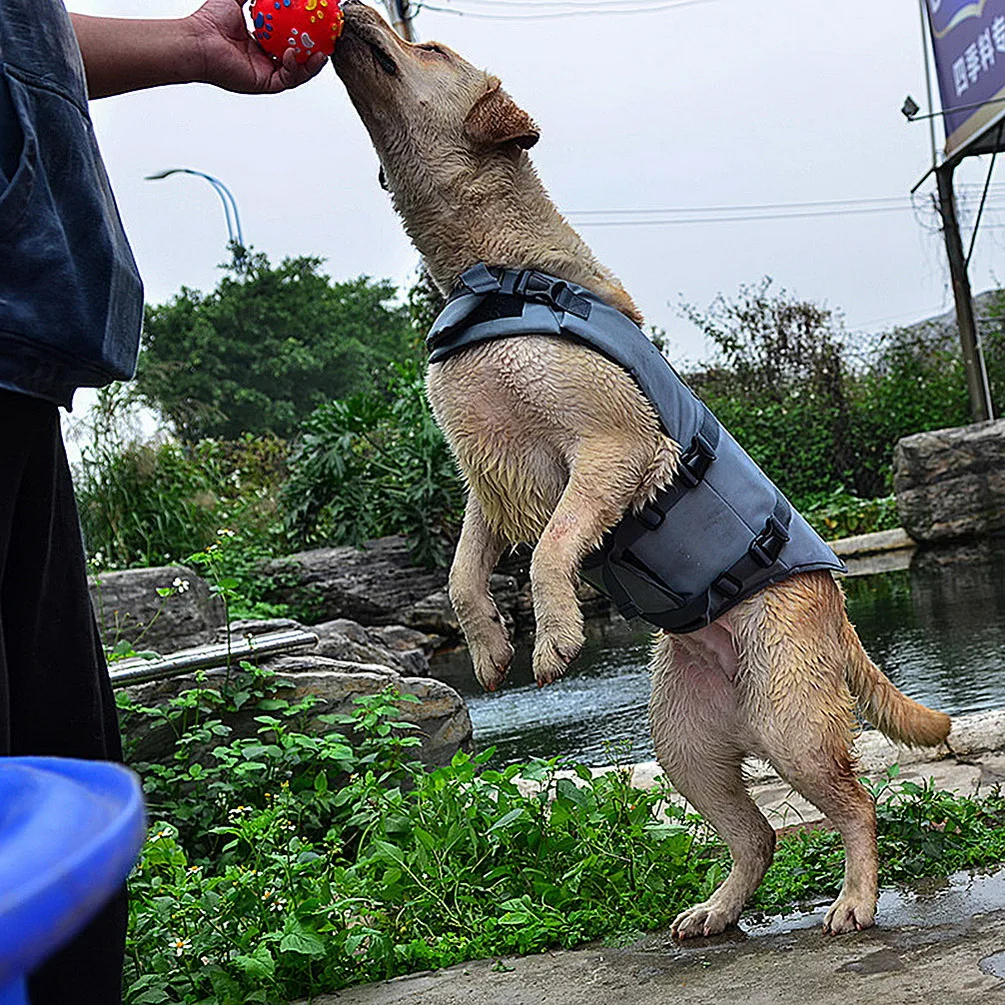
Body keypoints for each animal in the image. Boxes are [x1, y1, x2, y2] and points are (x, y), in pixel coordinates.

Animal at [333, 1, 952, 940]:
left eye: (429, 45)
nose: (355, 10)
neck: (494, 271)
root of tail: (835, 609)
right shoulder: (485, 479)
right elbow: (461, 574)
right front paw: (488, 647)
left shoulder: (609, 447)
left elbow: (552, 546)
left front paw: (552, 634)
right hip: (683, 742)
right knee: (757, 833)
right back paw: (717, 909)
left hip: (789, 721)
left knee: (856, 803)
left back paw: (854, 898)